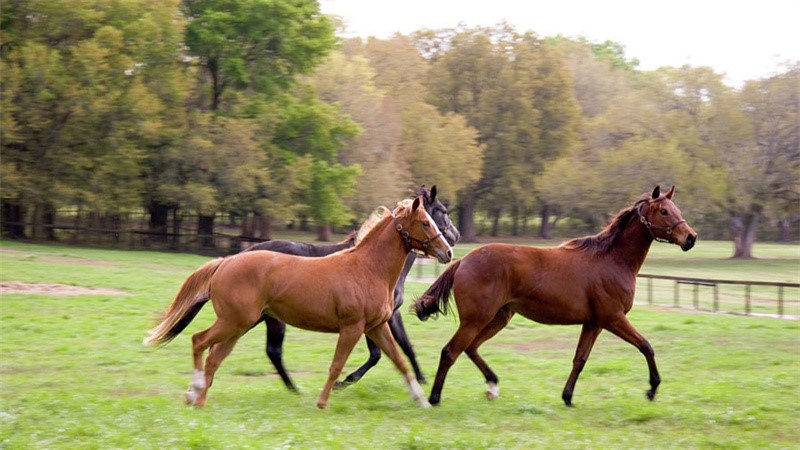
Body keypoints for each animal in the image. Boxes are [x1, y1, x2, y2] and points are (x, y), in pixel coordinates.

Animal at [145, 196, 453, 409]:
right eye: (427, 222)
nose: (448, 250)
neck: (368, 268)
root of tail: (226, 262)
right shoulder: (352, 327)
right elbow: (337, 365)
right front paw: (322, 401)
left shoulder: (377, 326)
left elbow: (399, 359)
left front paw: (421, 400)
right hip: (235, 322)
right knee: (200, 341)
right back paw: (195, 391)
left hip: (239, 326)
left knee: (215, 357)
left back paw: (198, 397)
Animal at [413, 186, 697, 407]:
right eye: (664, 211)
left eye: (676, 209)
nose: (691, 238)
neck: (612, 260)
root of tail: (462, 260)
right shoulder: (613, 318)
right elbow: (646, 346)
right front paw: (652, 388)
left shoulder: (593, 323)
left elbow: (580, 359)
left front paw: (567, 396)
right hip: (475, 319)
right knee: (451, 351)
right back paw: (435, 398)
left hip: (498, 317)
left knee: (470, 348)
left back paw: (492, 386)